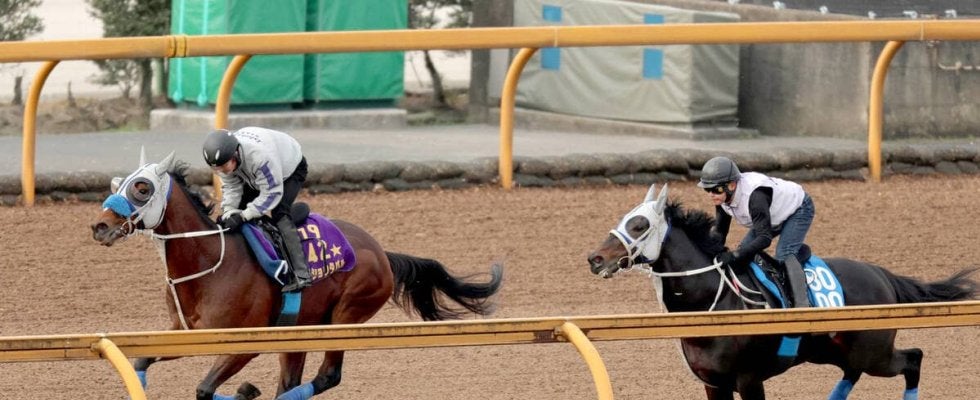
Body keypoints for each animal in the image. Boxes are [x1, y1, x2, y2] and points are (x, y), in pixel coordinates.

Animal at [90, 152, 504, 400]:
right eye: (116, 183)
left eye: (142, 187)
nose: (100, 226)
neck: (208, 263)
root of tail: (381, 253)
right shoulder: (184, 335)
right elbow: (140, 363)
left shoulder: (245, 344)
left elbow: (205, 389)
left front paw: (244, 390)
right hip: (299, 331)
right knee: (296, 379)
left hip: (345, 318)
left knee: (327, 377)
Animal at [585, 183, 978, 400]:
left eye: (639, 224)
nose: (595, 258)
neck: (714, 302)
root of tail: (880, 273)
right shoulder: (714, 383)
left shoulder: (748, 380)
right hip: (834, 351)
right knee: (853, 372)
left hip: (876, 353)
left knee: (913, 358)